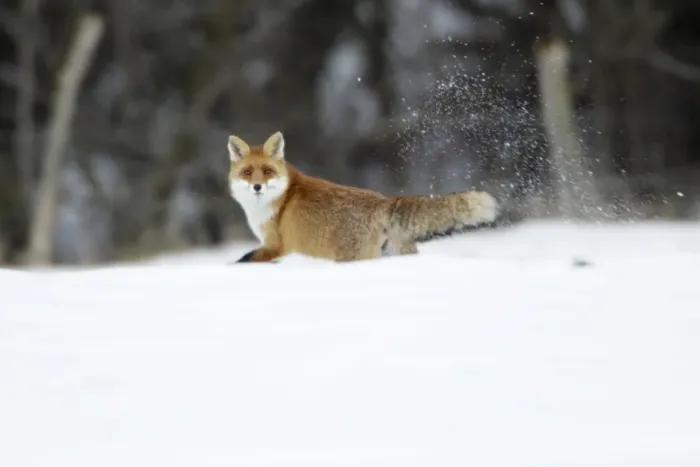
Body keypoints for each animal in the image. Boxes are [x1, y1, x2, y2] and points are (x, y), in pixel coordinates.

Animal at [228, 131, 500, 263]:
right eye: (248, 172)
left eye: (267, 171)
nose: (257, 187)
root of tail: (383, 201)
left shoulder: (276, 246)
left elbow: (243, 260)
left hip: (351, 258)